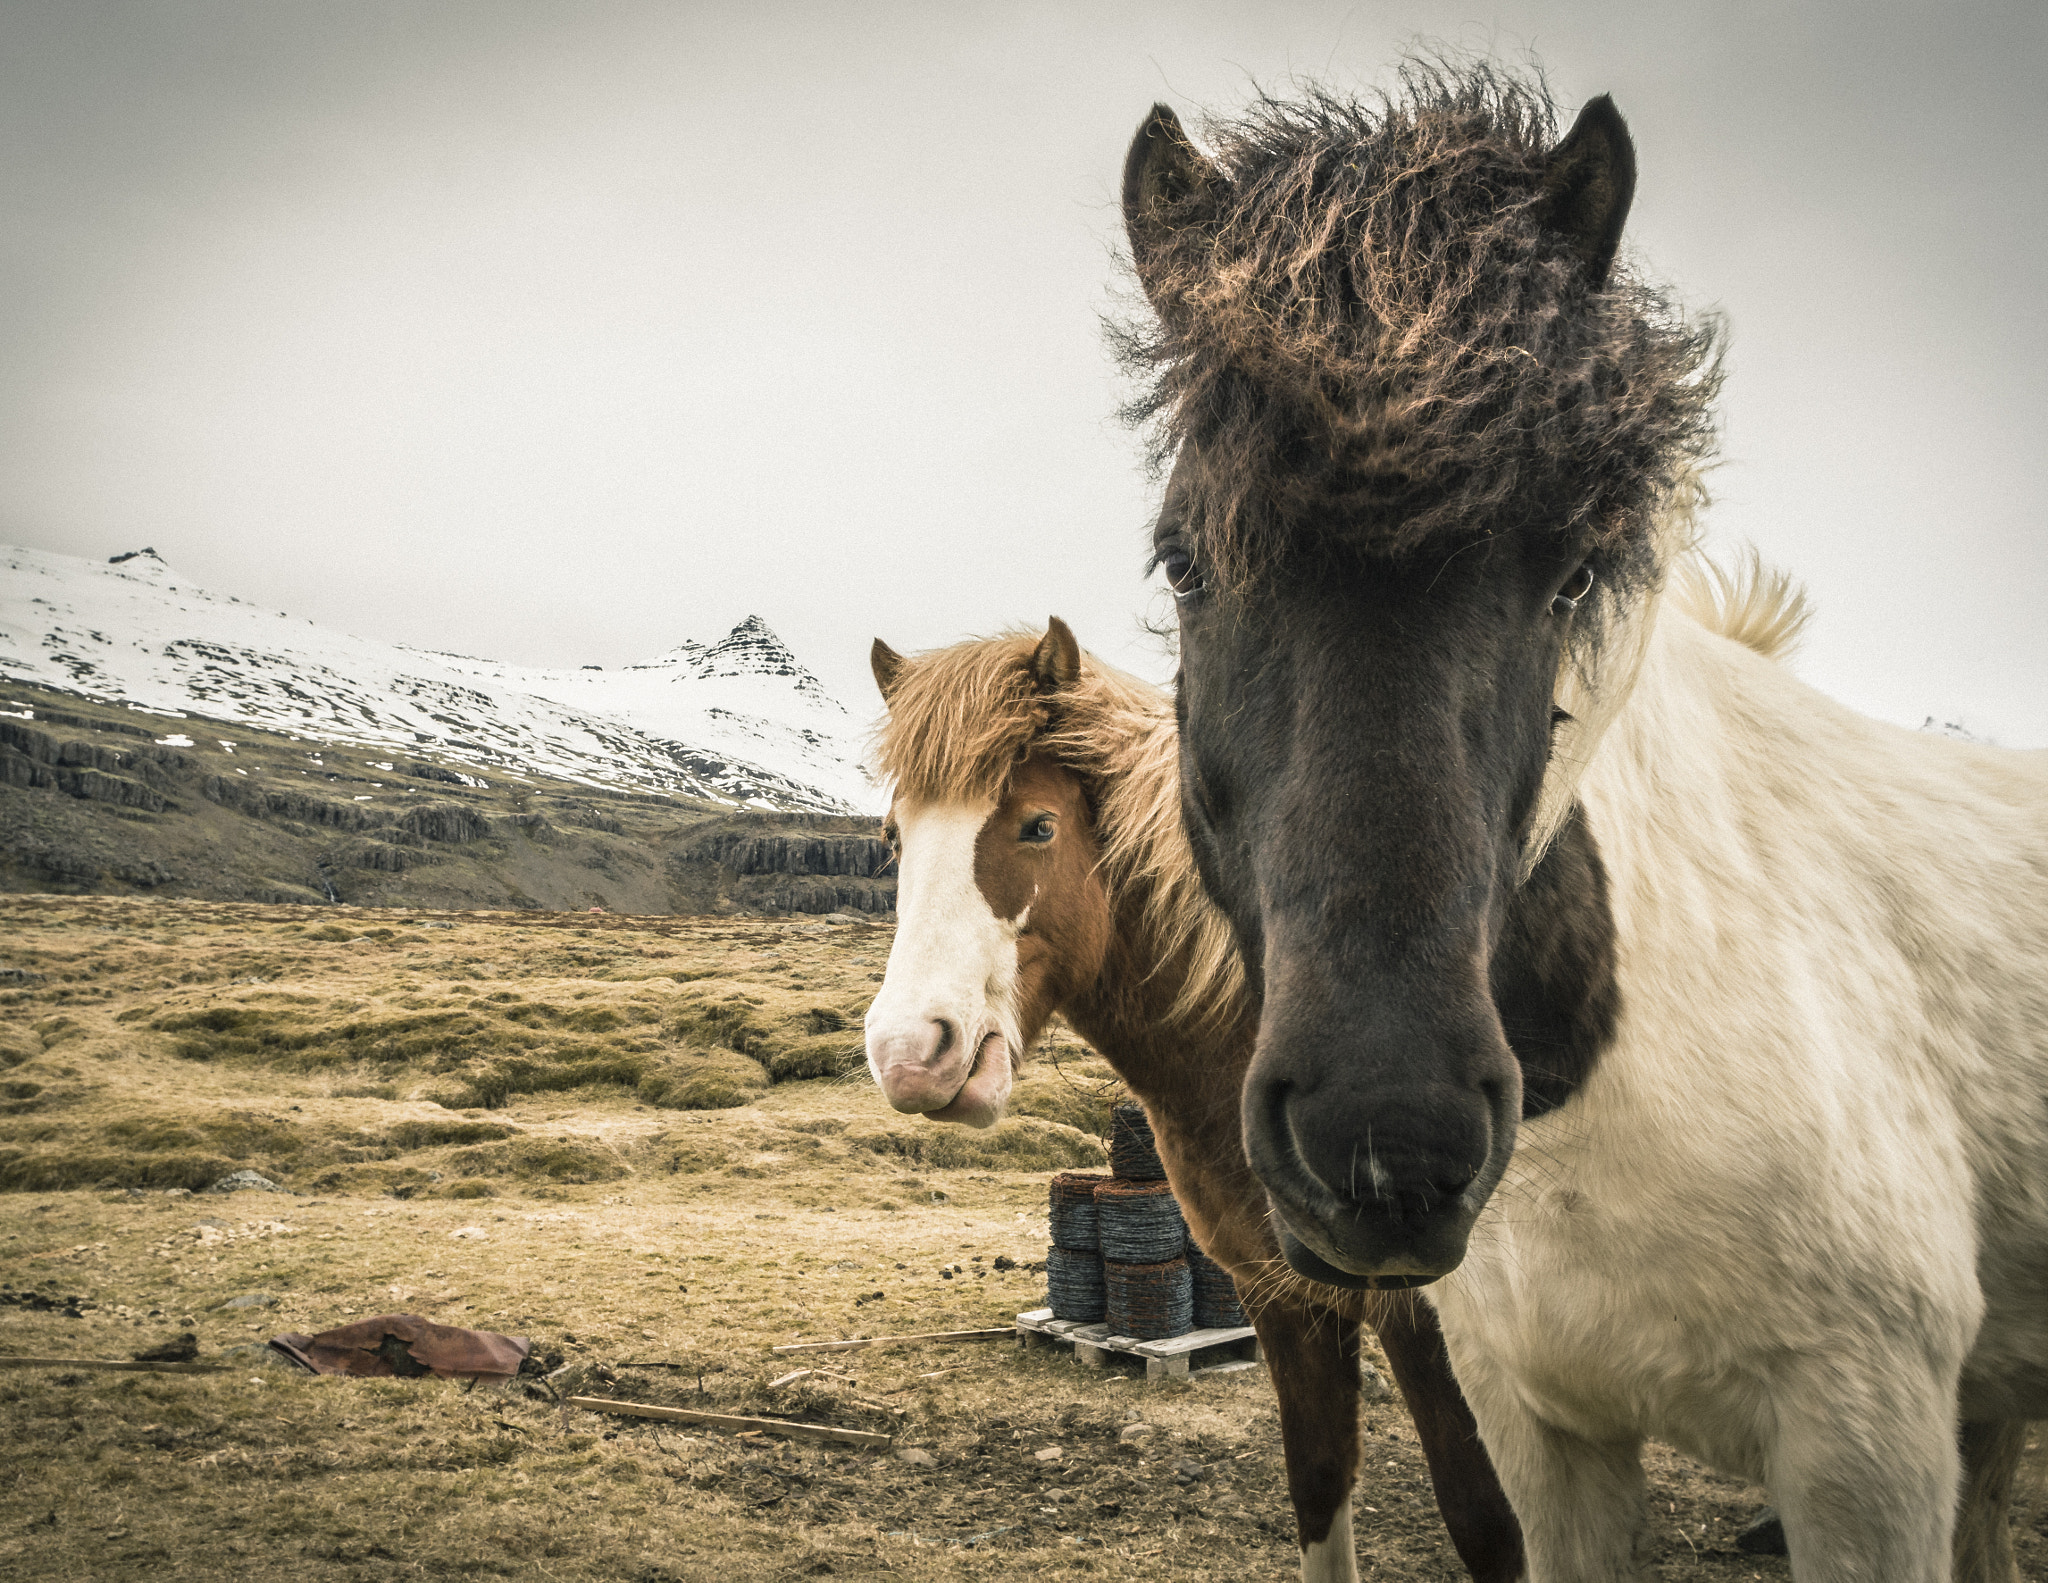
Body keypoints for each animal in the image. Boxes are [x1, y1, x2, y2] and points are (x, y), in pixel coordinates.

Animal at [851, 622, 1523, 1580]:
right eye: (895, 835)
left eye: (1038, 824)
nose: (910, 1052)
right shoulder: (1283, 1298)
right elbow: (1320, 1481)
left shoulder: (1449, 1328)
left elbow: (1486, 1521)